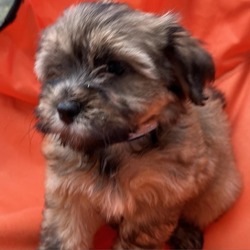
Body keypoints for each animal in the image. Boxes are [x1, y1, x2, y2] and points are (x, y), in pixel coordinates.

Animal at [34, 2, 241, 250]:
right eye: (56, 70)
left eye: (114, 67)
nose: (65, 108)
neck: (113, 146)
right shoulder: (68, 194)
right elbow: (64, 235)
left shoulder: (158, 200)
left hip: (221, 191)